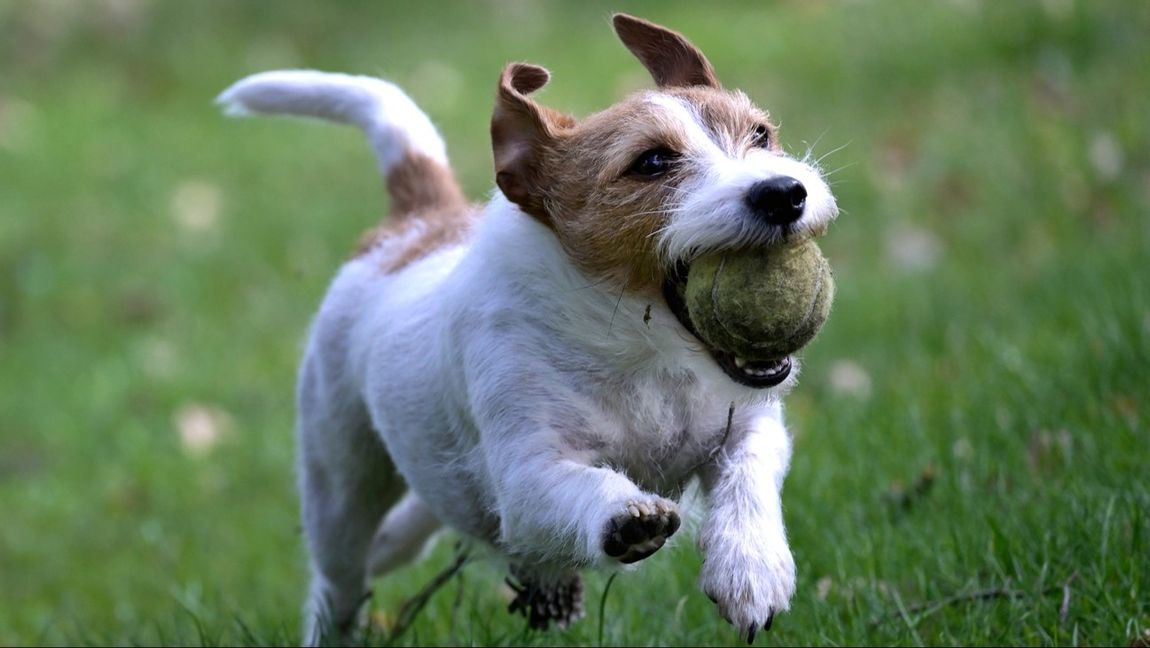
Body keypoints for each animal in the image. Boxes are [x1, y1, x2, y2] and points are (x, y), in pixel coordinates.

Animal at [217, 13, 837, 644]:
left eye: (760, 135)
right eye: (652, 163)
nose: (784, 193)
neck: (637, 347)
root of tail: (418, 222)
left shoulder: (748, 424)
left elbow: (747, 475)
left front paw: (751, 568)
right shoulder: (527, 479)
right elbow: (579, 486)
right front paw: (625, 520)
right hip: (340, 482)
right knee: (339, 582)